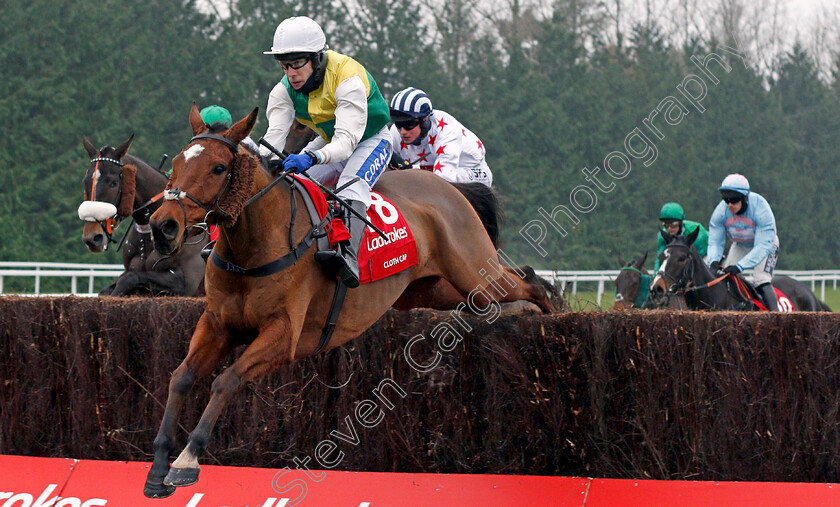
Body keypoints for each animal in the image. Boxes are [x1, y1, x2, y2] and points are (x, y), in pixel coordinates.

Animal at [80, 134, 208, 298]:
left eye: (113, 183)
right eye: (86, 182)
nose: (92, 238)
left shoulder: (185, 283)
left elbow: (129, 278)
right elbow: (107, 289)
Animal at [141, 105, 556, 498]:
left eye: (218, 167)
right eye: (177, 162)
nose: (163, 226)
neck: (256, 244)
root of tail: (449, 187)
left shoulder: (283, 335)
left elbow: (226, 381)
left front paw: (187, 460)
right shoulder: (217, 324)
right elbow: (181, 377)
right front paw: (159, 467)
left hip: (475, 273)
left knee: (530, 283)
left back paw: (550, 320)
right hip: (433, 289)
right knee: (514, 284)